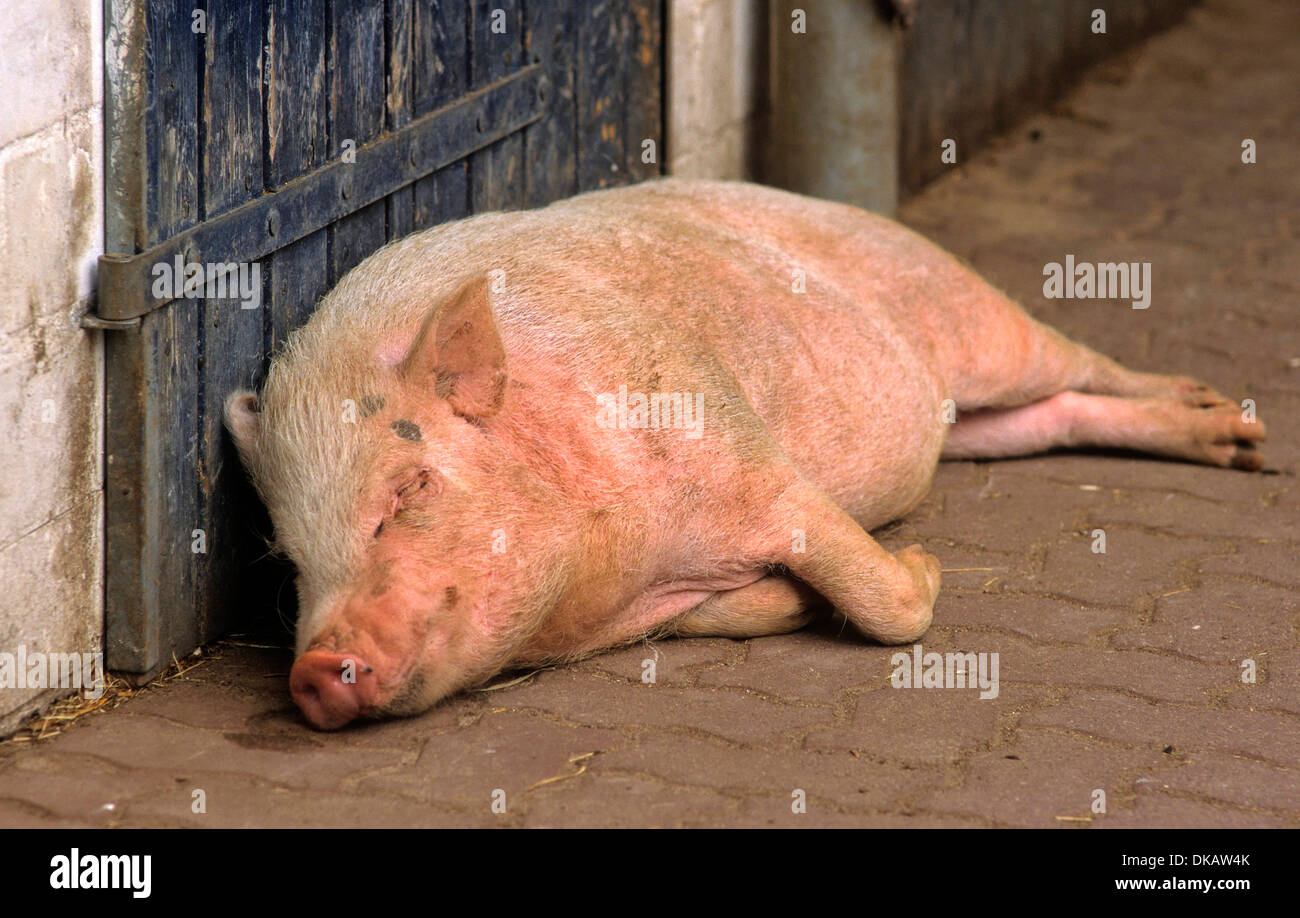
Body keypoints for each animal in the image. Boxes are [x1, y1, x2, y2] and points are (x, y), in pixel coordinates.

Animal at [226, 175, 1268, 728]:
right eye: (290, 559)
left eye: (407, 488)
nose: (316, 668)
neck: (614, 566)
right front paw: (793, 601)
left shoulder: (755, 464)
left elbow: (882, 600)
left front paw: (925, 568)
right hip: (978, 418)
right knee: (1057, 416)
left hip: (969, 313)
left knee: (1085, 363)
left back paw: (1241, 434)